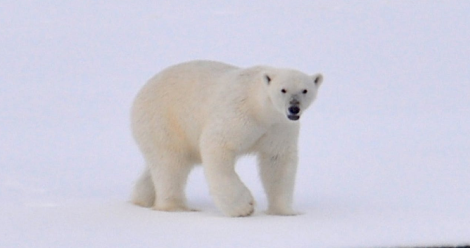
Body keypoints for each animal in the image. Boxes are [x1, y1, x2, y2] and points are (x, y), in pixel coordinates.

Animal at [132, 60, 324, 217]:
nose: (294, 108)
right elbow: (217, 144)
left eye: (305, 90)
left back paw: (141, 199)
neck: (260, 108)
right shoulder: (238, 114)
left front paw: (284, 211)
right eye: (283, 89)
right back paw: (177, 207)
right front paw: (243, 207)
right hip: (164, 121)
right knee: (170, 163)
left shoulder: (279, 127)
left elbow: (277, 161)